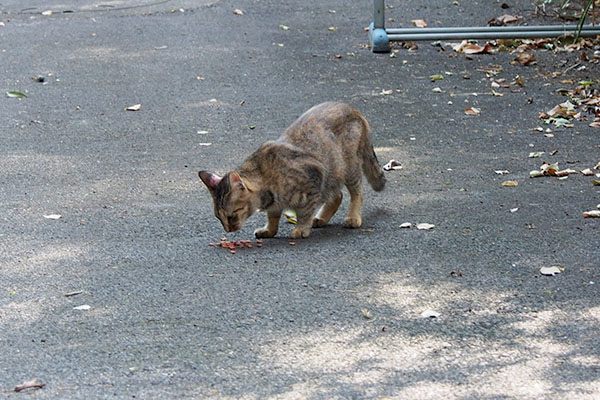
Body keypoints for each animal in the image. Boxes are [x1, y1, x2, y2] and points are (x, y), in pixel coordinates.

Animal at [199, 101, 386, 239]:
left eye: (231, 215)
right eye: (219, 217)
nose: (228, 230)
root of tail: (353, 110)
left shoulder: (314, 178)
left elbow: (304, 213)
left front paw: (301, 228)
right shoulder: (277, 204)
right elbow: (273, 217)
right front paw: (269, 230)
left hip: (348, 167)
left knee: (356, 193)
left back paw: (353, 217)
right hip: (333, 175)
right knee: (337, 195)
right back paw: (322, 218)